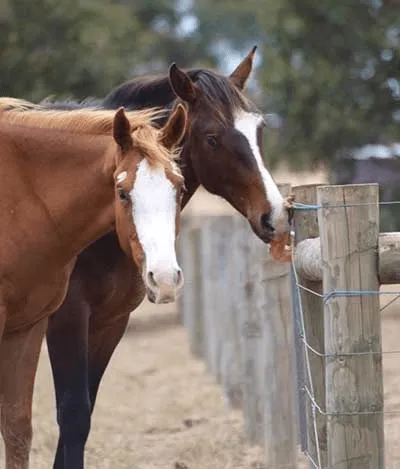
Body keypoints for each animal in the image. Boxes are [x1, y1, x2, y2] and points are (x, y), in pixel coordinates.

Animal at [46, 47, 294, 468]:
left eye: (259, 130)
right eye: (211, 138)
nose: (275, 216)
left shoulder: (109, 322)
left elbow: (81, 416)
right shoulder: (66, 319)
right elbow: (73, 415)